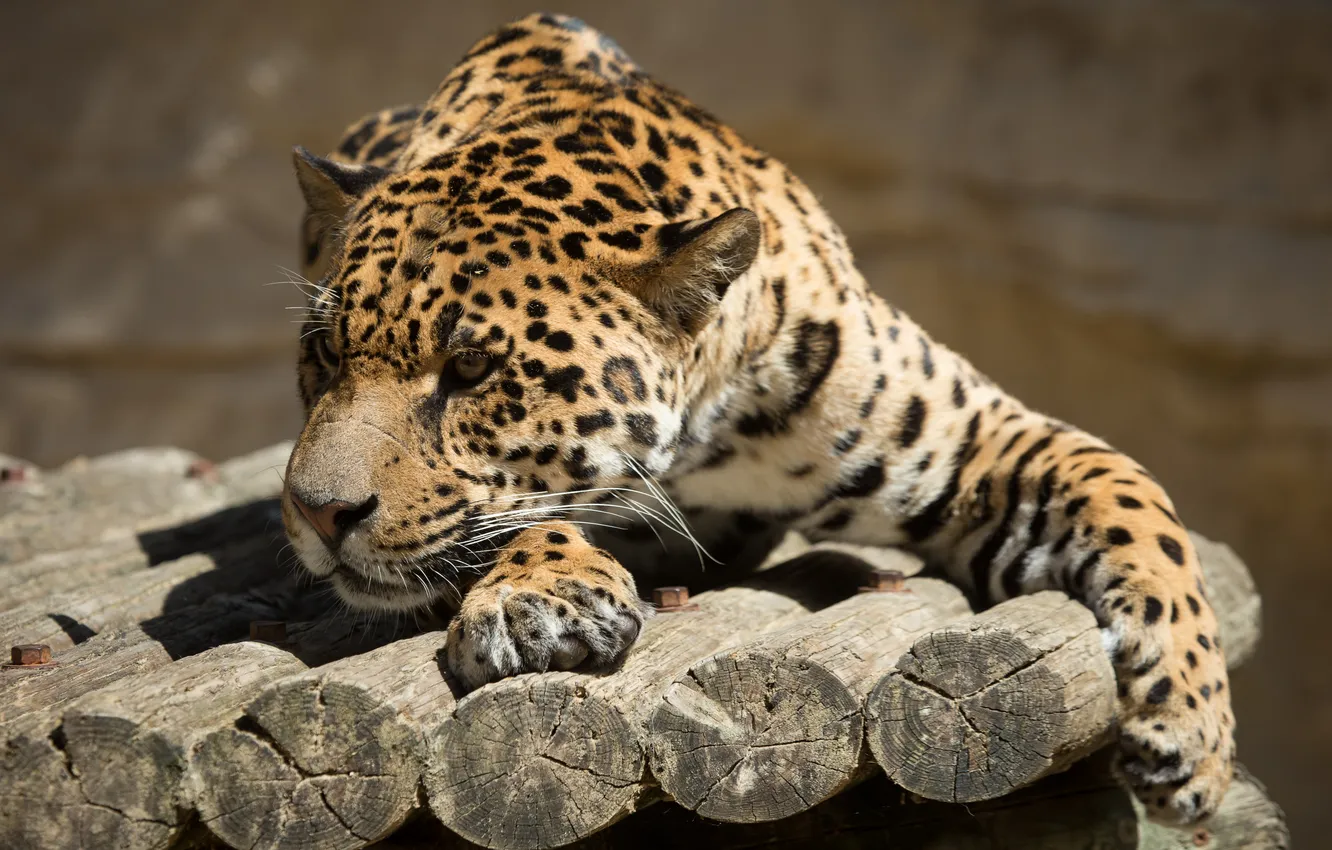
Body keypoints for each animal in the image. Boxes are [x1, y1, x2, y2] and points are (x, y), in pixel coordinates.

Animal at [282, 12, 1235, 825]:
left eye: (473, 368)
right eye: (326, 352)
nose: (319, 513)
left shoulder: (974, 440)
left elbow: (1134, 499)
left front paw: (1193, 739)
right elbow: (515, 517)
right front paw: (538, 595)